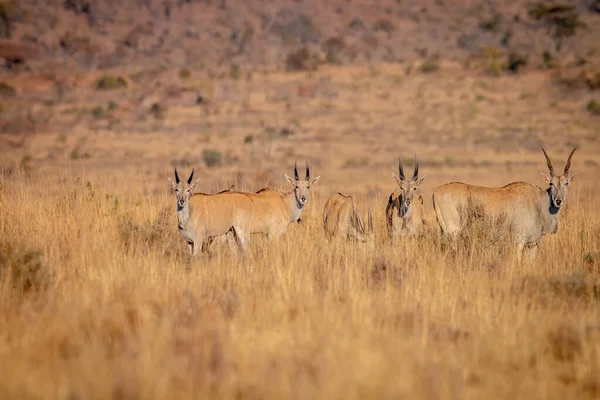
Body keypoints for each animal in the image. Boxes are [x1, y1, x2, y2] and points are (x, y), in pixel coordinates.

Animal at [434, 148, 580, 260]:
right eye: (551, 183)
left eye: (566, 183)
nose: (558, 201)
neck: (538, 202)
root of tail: (436, 192)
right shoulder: (518, 242)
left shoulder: (532, 245)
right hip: (453, 233)